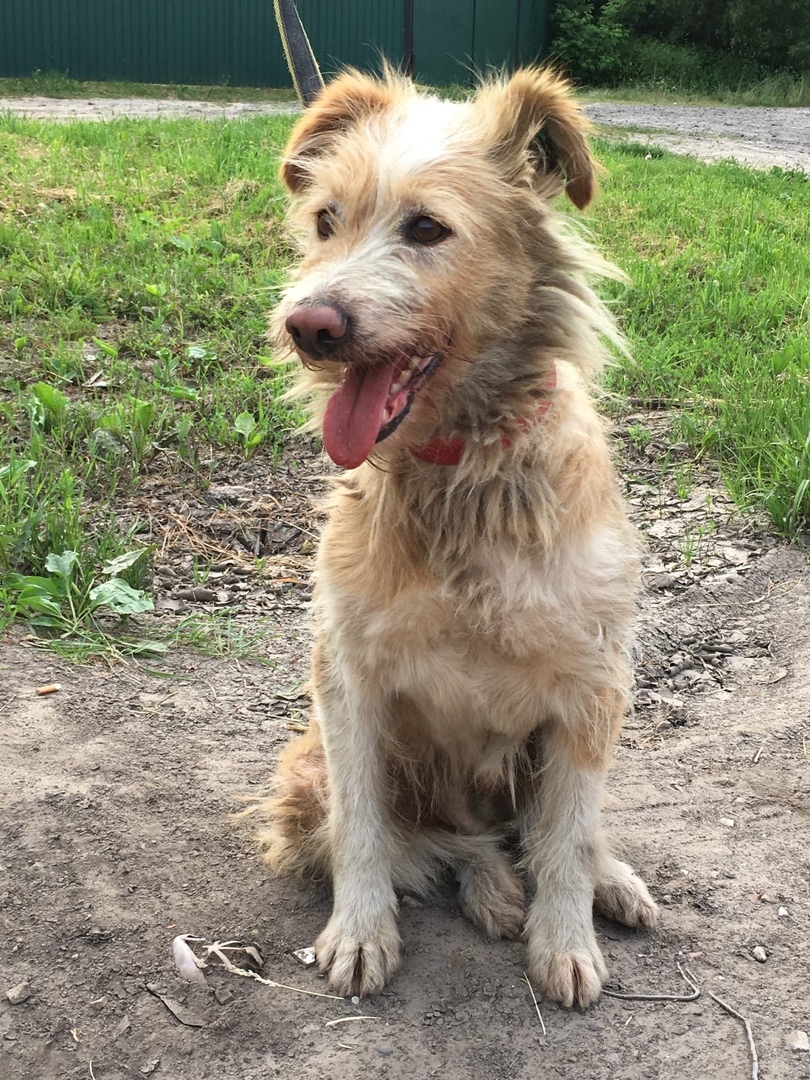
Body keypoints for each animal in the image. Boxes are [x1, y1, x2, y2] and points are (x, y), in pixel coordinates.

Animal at [253, 67, 660, 1006]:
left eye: (427, 228)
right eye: (325, 220)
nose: (307, 325)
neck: (464, 467)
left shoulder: (594, 684)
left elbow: (569, 833)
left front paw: (566, 938)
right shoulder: (346, 676)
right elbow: (364, 829)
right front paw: (360, 933)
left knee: (551, 831)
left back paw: (605, 879)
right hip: (307, 774)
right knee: (448, 842)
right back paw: (492, 888)